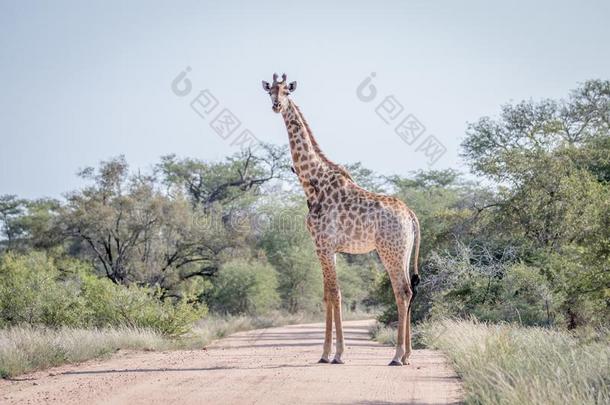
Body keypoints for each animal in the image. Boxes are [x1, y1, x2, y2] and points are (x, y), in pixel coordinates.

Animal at [262, 72, 418, 366]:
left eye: (287, 91)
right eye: (270, 92)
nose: (276, 106)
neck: (312, 182)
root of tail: (411, 215)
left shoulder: (323, 244)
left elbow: (333, 293)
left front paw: (336, 353)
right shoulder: (328, 248)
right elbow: (329, 294)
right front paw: (327, 354)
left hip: (389, 251)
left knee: (402, 291)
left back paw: (396, 355)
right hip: (403, 252)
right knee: (410, 290)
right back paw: (407, 354)